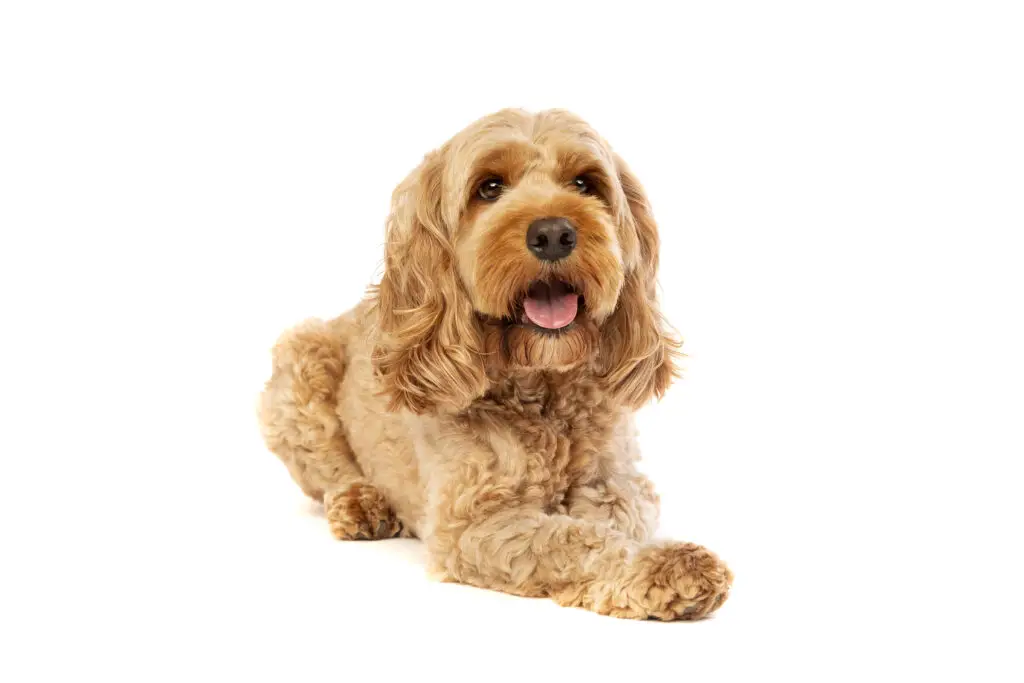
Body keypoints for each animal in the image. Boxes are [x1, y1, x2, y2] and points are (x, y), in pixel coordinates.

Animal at [260, 107, 733, 618]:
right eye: (488, 188)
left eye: (585, 183)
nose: (553, 233)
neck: (543, 393)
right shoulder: (473, 525)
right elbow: (571, 541)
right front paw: (662, 567)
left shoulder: (620, 481)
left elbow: (610, 515)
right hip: (300, 361)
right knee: (328, 472)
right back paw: (361, 503)